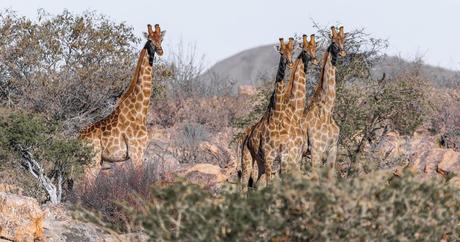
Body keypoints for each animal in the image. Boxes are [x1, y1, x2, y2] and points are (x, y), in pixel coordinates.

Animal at [80, 23, 166, 181]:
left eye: (161, 39)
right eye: (150, 40)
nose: (160, 50)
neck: (140, 112)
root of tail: (77, 138)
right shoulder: (136, 152)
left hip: (96, 161)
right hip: (92, 161)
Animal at [302, 26, 344, 178]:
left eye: (344, 39)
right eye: (333, 41)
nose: (343, 52)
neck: (327, 111)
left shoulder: (333, 148)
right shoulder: (316, 149)